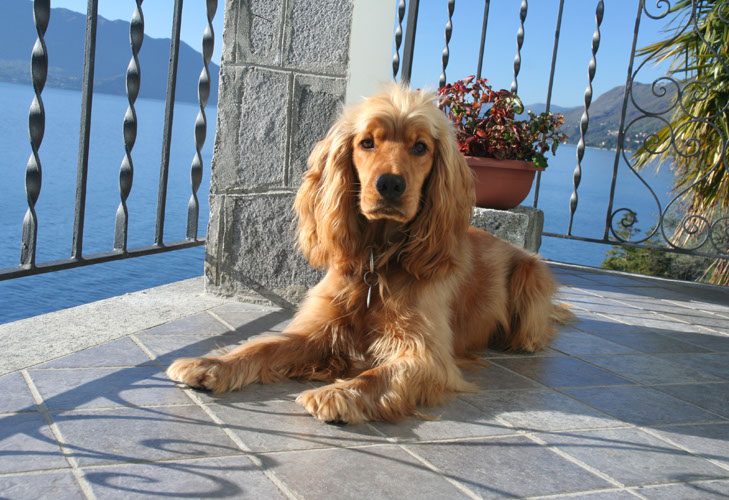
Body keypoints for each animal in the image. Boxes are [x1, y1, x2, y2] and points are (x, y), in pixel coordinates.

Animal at [167, 84, 571, 423]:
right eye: (366, 143)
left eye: (420, 147)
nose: (390, 184)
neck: (378, 259)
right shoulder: (319, 329)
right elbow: (263, 346)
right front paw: (212, 364)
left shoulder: (425, 353)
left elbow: (378, 374)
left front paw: (337, 394)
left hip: (531, 274)